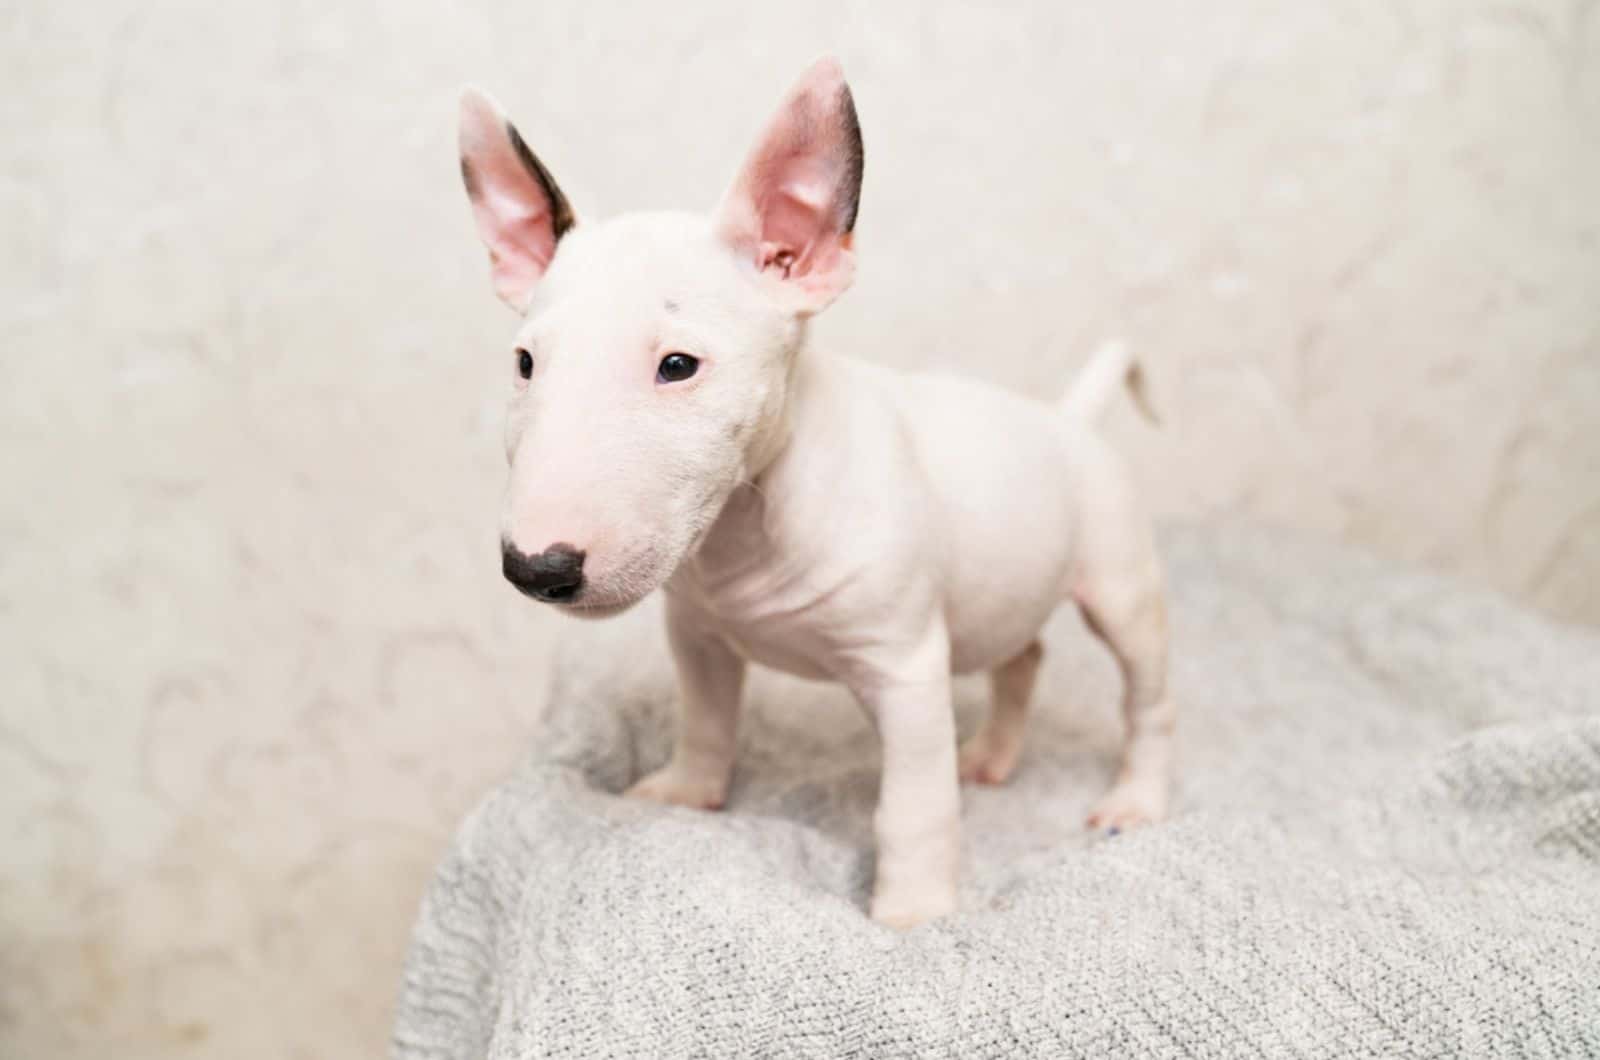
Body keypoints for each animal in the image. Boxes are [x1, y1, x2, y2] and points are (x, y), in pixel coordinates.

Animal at [457, 58, 1171, 928]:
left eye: (678, 365)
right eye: (526, 363)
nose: (538, 570)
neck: (748, 522)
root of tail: (1067, 421)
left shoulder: (905, 669)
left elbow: (913, 807)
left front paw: (912, 912)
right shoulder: (698, 637)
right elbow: (706, 721)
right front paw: (686, 794)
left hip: (1122, 588)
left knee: (1145, 699)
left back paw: (1136, 799)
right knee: (1023, 656)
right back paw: (992, 756)